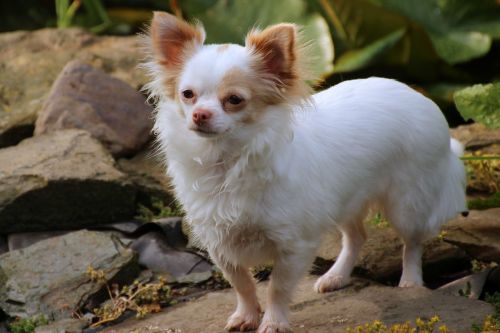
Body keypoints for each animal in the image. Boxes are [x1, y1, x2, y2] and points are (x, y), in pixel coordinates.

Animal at [143, 11, 466, 332]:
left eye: (234, 100)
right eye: (187, 95)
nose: (200, 114)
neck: (226, 162)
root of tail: (417, 94)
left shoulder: (294, 245)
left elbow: (277, 288)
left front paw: (273, 323)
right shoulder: (219, 243)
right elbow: (241, 283)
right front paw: (246, 316)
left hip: (406, 204)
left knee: (412, 242)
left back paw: (410, 282)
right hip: (344, 199)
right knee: (357, 237)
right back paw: (336, 276)